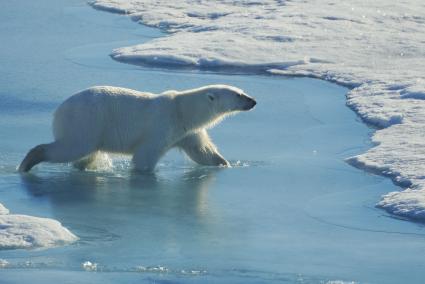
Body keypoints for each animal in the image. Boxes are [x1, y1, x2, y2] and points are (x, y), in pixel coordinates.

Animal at [18, 84, 255, 172]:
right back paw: (27, 163)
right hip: (86, 121)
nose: (253, 101)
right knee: (71, 147)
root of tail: (58, 110)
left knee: (85, 155)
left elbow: (203, 152)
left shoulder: (187, 131)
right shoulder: (161, 126)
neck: (181, 109)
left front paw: (224, 163)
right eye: (238, 95)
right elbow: (145, 156)